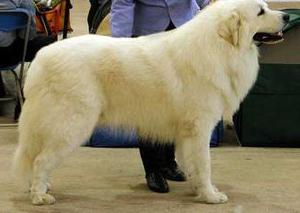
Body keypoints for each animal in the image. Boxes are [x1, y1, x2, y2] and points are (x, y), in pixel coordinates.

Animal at [13, 0, 288, 206]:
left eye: (267, 6)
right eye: (260, 12)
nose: (286, 15)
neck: (219, 46)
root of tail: (40, 59)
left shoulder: (186, 133)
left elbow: (191, 163)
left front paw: (196, 188)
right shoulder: (200, 128)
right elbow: (205, 164)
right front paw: (211, 196)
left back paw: (40, 187)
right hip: (72, 126)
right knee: (41, 160)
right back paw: (39, 196)